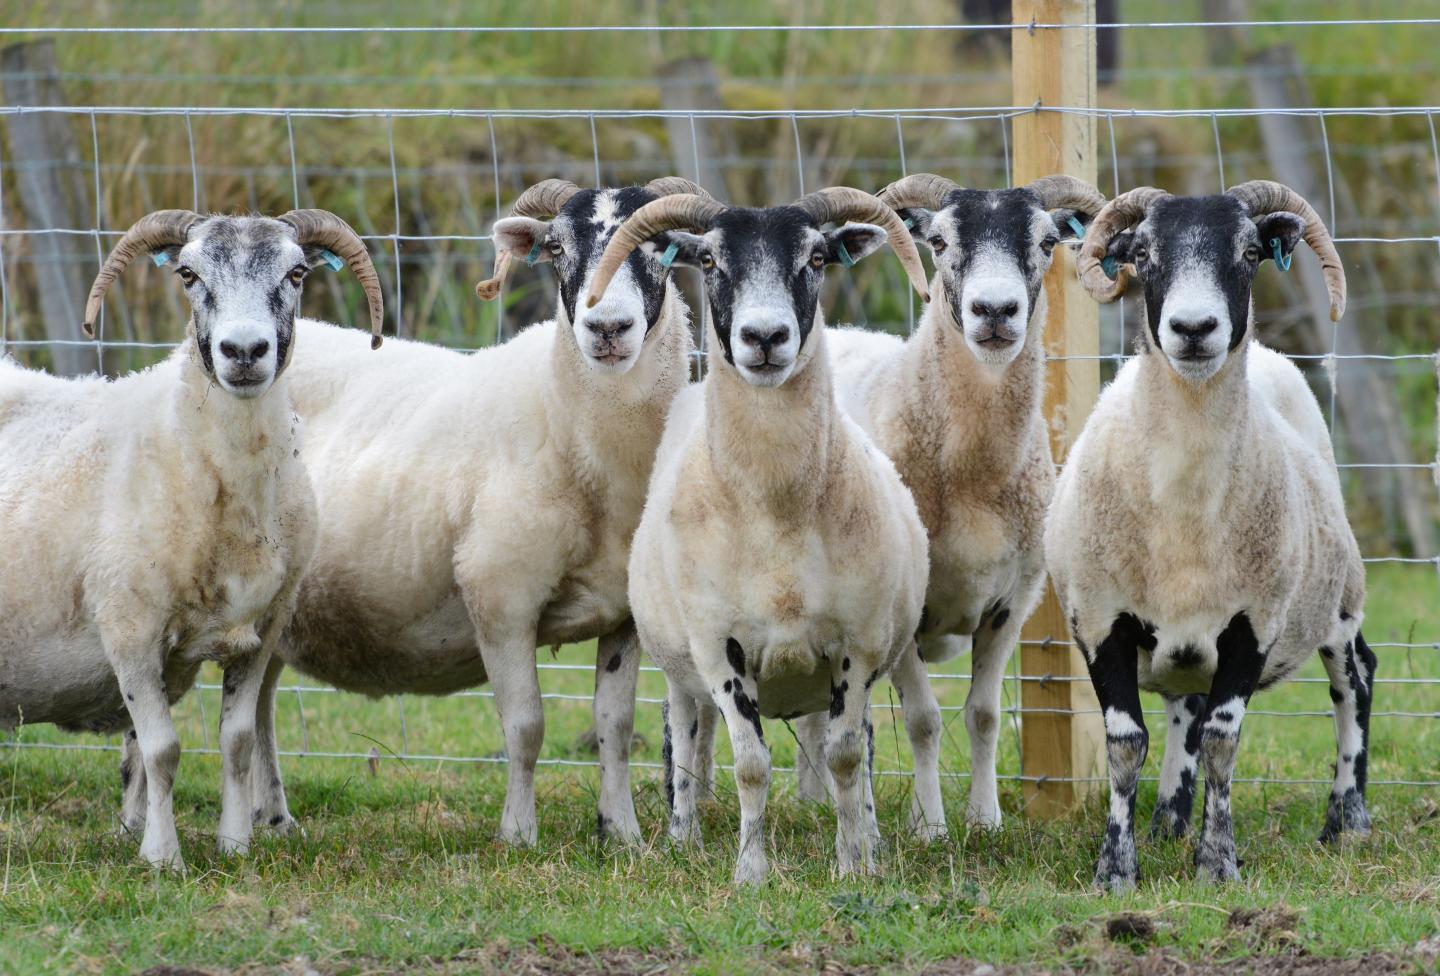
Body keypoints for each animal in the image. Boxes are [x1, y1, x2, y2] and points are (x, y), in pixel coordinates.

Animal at [0, 208, 383, 869]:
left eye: (297, 272)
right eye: (187, 273)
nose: (244, 350)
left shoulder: (261, 630)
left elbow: (238, 741)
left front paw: (235, 844)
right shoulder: (128, 629)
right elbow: (161, 751)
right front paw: (162, 857)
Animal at [250, 177, 711, 846]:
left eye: (662, 249)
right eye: (557, 249)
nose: (607, 327)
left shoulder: (622, 611)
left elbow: (615, 726)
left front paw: (620, 831)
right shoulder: (500, 592)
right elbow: (526, 726)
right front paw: (518, 834)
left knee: (256, 704)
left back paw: (273, 820)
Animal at [584, 187, 933, 880]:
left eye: (818, 257)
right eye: (710, 260)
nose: (765, 337)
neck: (776, 513)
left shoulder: (857, 643)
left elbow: (846, 757)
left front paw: (853, 864)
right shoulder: (721, 647)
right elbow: (749, 763)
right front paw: (751, 872)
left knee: (862, 748)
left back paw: (873, 839)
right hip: (679, 665)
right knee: (684, 729)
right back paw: (683, 835)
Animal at [1048, 179, 1370, 892]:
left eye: (1250, 251)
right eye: (1142, 252)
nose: (1194, 330)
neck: (1184, 507)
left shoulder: (1253, 624)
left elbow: (1224, 740)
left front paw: (1217, 863)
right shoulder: (1102, 619)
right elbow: (1126, 744)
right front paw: (1116, 868)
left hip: (1339, 597)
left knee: (1355, 683)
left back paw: (1348, 821)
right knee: (1184, 708)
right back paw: (1167, 821)